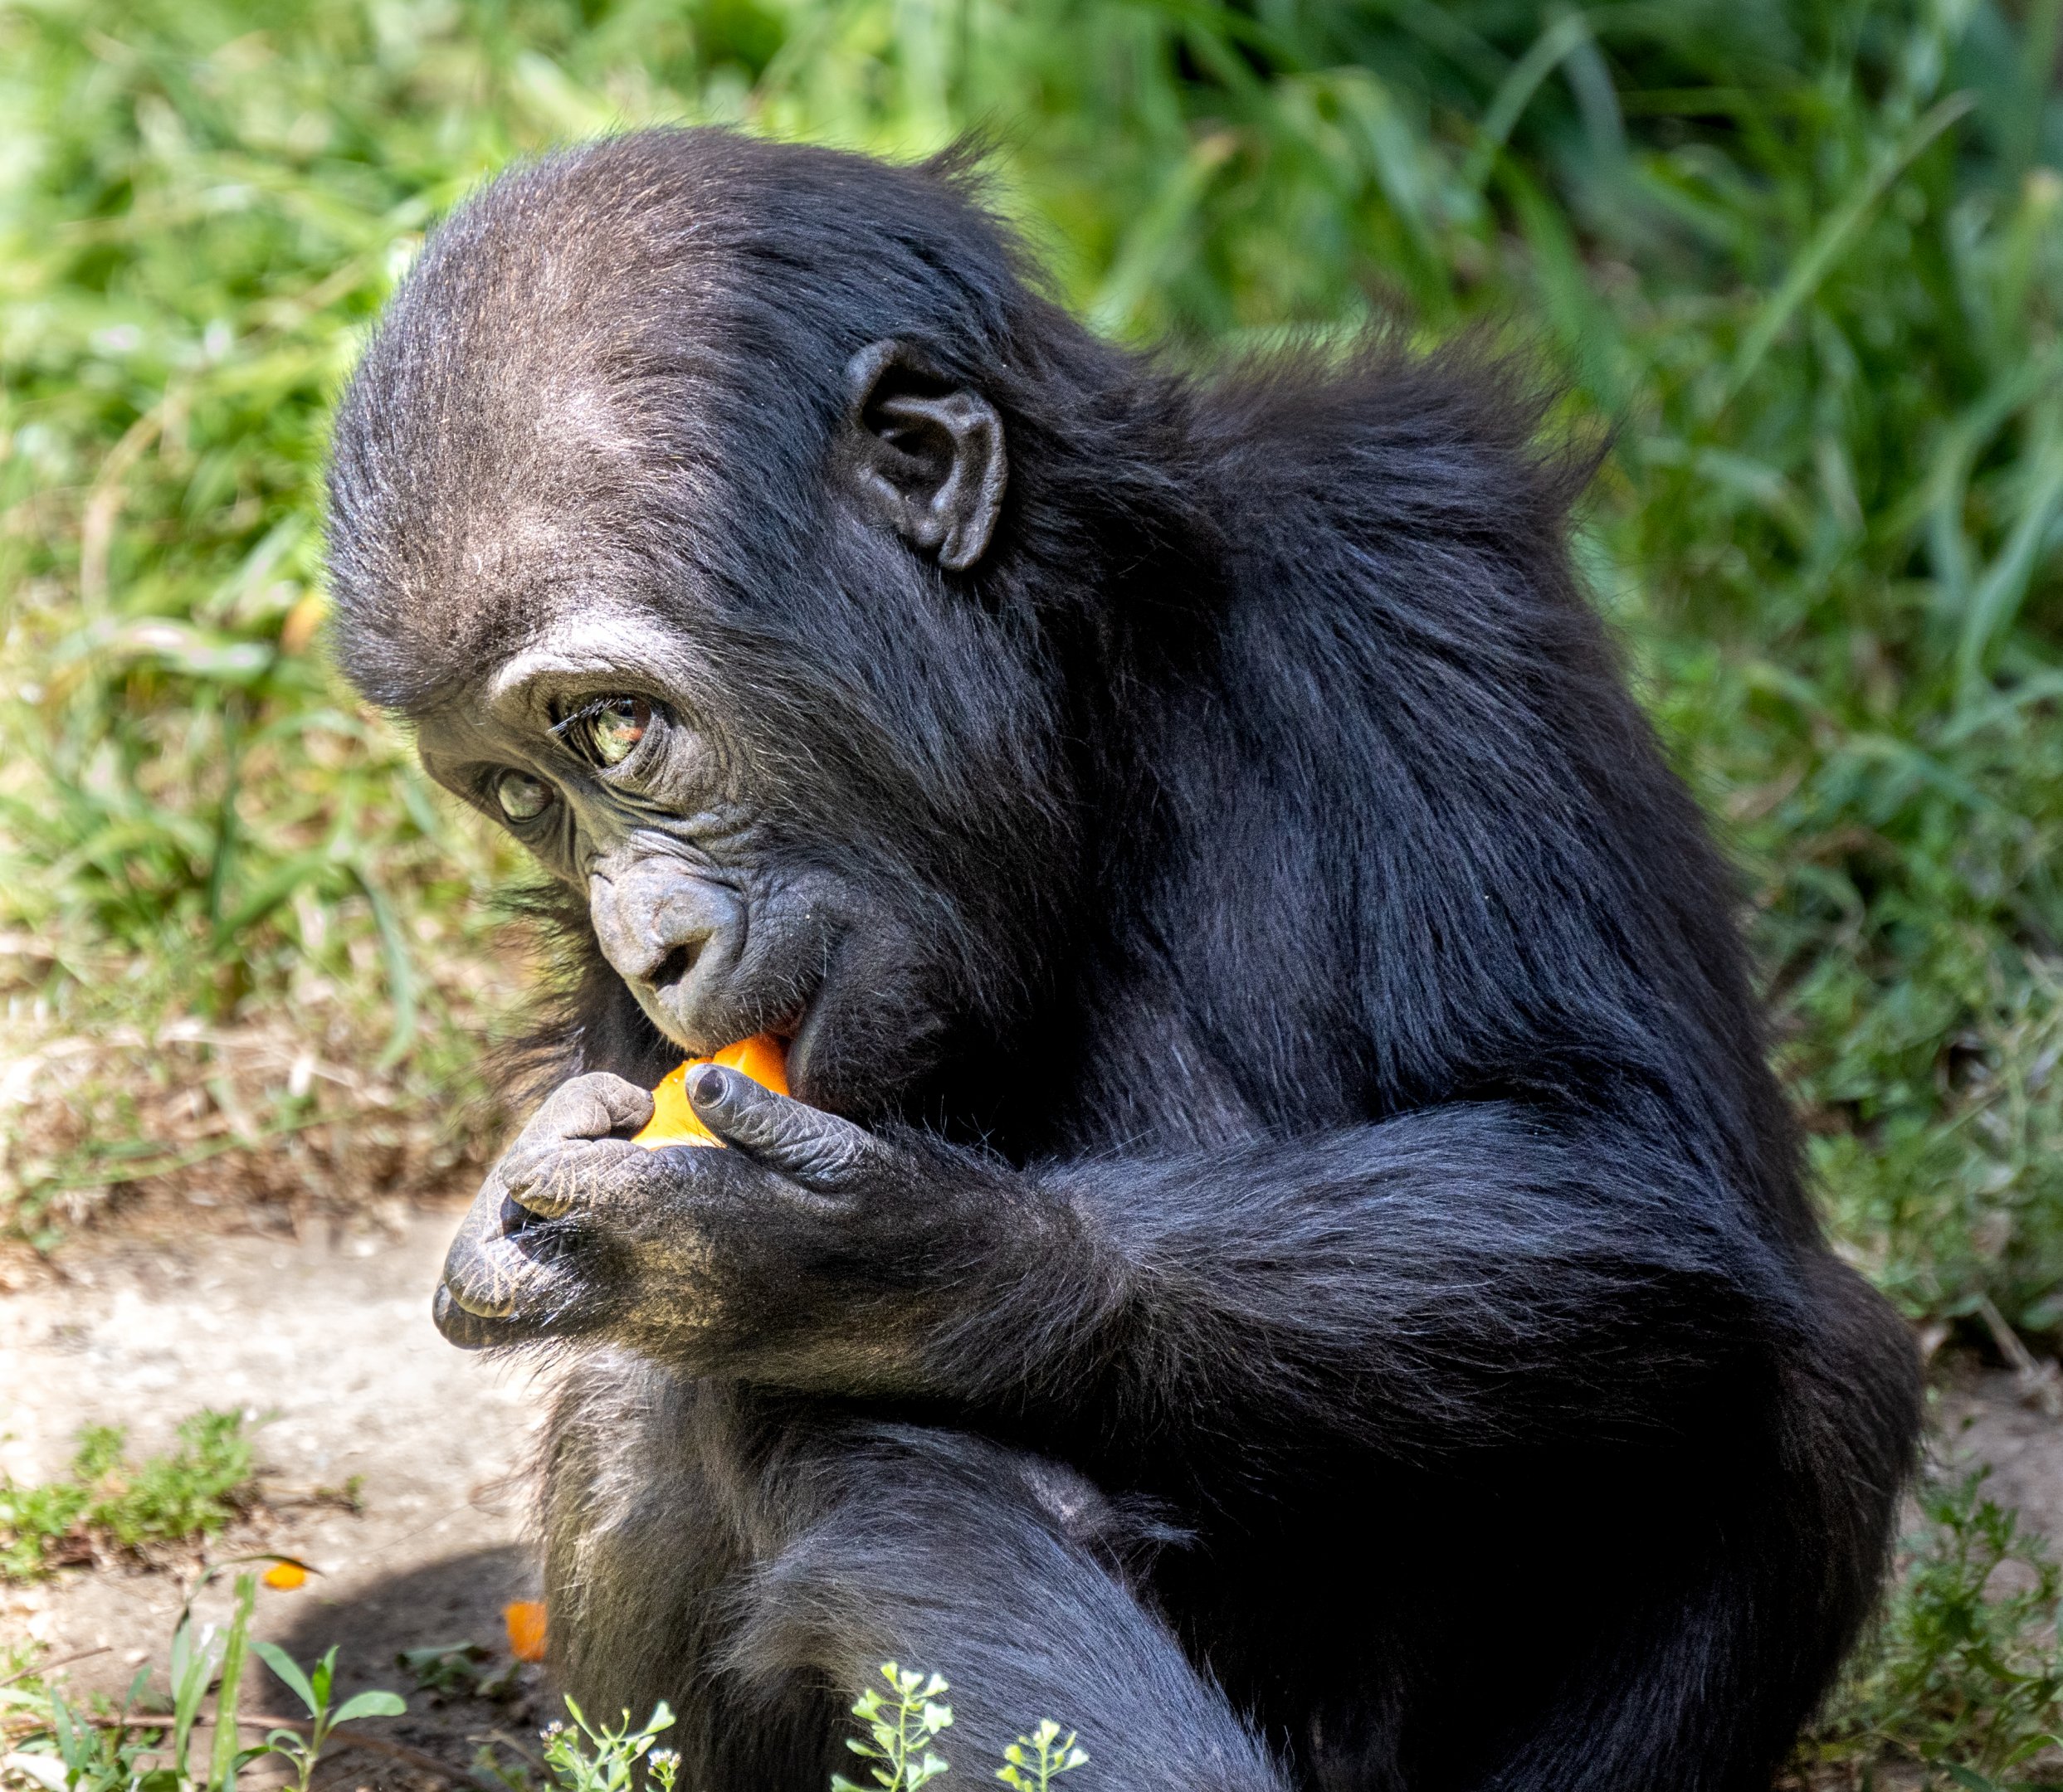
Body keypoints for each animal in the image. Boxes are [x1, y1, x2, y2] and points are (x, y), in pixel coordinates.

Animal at [326, 127, 1921, 1792]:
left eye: (614, 729)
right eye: (522, 797)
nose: (650, 941)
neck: (1085, 697)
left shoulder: (1422, 566)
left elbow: (1616, 1144)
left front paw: (867, 1272)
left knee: (1813, 1377)